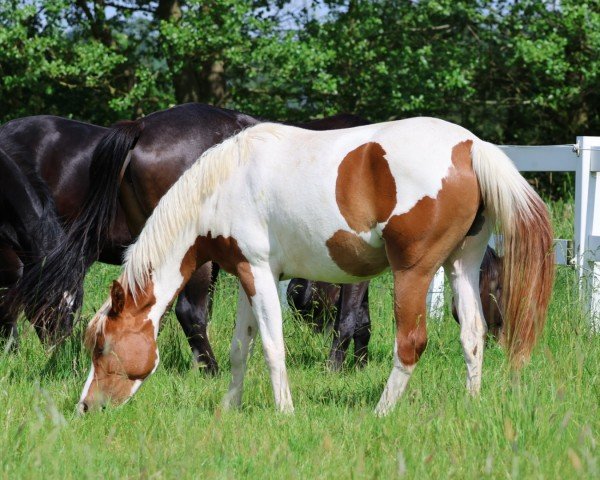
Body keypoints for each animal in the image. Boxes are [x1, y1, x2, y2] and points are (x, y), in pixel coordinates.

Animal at [78, 118, 552, 414]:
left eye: (103, 347)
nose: (86, 406)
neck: (225, 182)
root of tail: (471, 147)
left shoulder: (258, 272)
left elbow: (272, 348)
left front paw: (284, 411)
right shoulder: (250, 275)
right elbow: (239, 349)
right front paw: (229, 407)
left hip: (414, 271)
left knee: (410, 344)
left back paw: (381, 412)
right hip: (461, 265)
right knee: (473, 335)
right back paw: (472, 402)